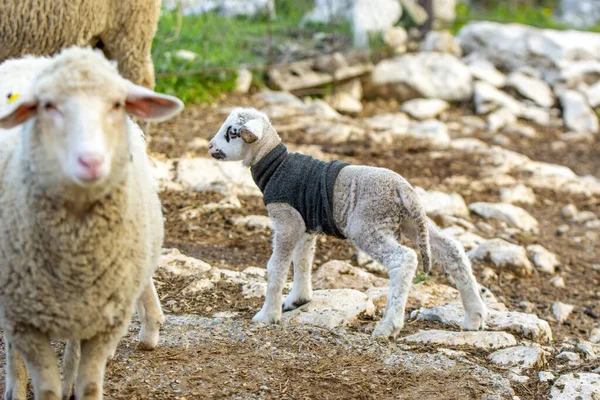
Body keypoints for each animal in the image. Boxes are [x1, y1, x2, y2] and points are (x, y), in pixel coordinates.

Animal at [0, 47, 184, 400]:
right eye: (48, 105)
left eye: (117, 104)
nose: (92, 161)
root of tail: (31, 58)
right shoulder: (24, 318)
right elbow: (45, 386)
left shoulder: (101, 313)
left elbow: (88, 381)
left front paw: (73, 382)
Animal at [209, 108, 490, 340]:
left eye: (231, 132)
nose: (210, 146)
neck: (274, 165)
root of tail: (402, 188)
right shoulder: (306, 224)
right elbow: (303, 261)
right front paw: (298, 299)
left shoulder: (287, 219)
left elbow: (276, 268)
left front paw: (267, 315)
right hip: (411, 221)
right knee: (451, 248)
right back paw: (474, 316)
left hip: (368, 224)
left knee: (404, 260)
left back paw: (388, 326)